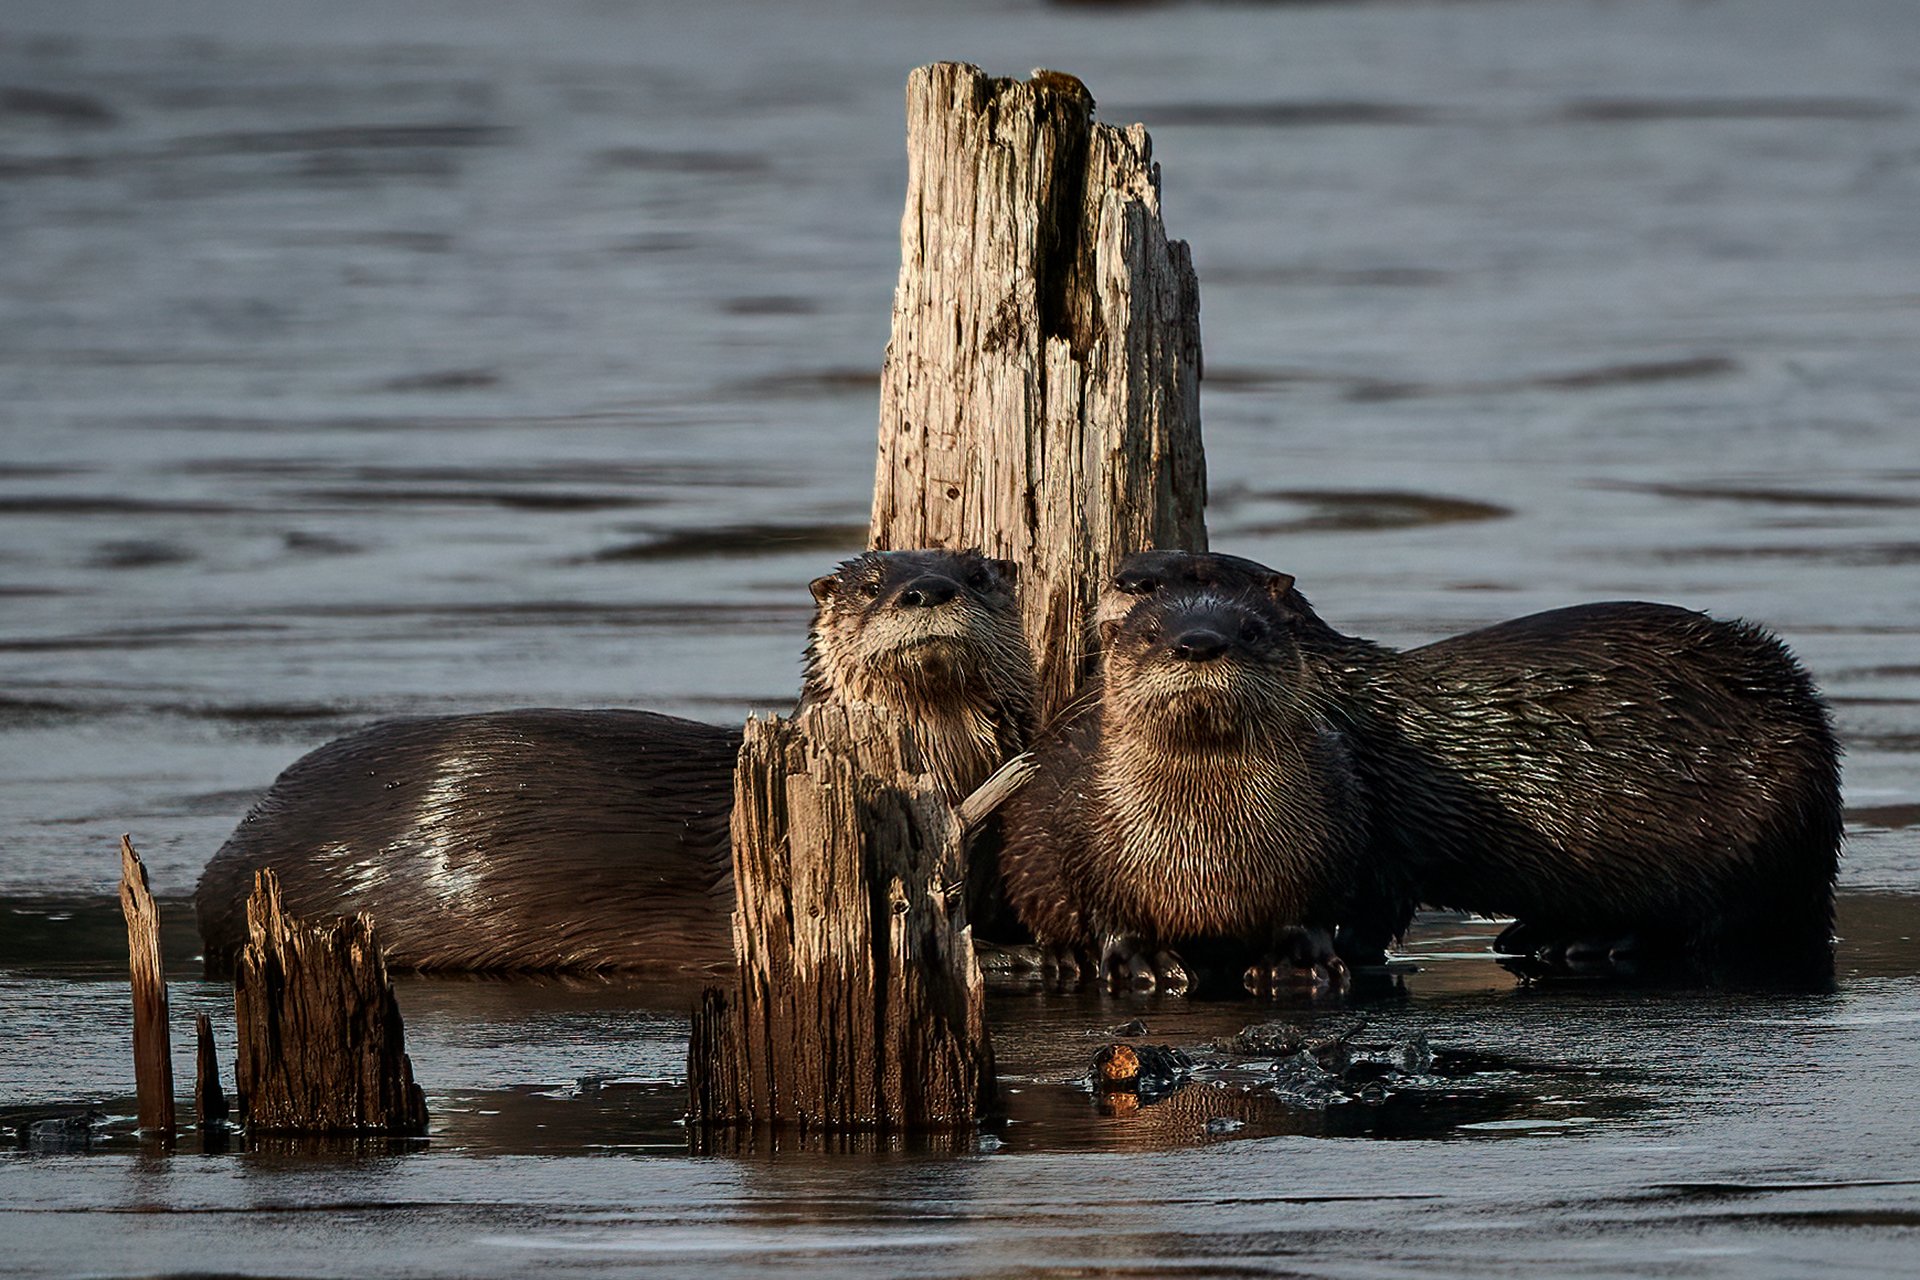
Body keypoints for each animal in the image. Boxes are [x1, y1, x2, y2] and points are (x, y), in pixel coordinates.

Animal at [990, 564, 1382, 997]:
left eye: (1251, 630)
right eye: (1150, 634)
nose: (1198, 644)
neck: (1206, 854)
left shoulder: (1332, 829)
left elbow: (1311, 912)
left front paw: (1302, 958)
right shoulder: (1083, 838)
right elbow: (1109, 916)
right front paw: (1142, 960)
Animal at [1090, 548, 1835, 982]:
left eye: (1195, 575)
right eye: (1140, 558)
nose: (1123, 579)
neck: (1346, 714)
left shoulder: (1377, 831)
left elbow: (1371, 913)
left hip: (1752, 829)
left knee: (1710, 923)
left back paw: (1588, 943)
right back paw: (1533, 933)